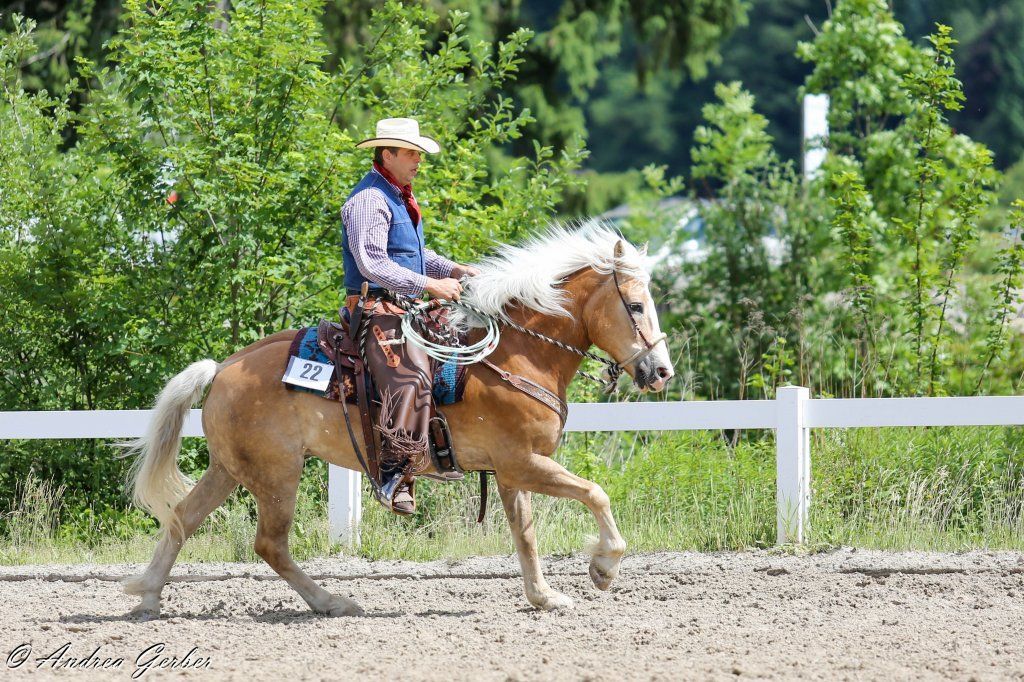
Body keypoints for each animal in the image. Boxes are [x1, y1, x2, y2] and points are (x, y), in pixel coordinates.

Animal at [120, 224, 675, 618]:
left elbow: (526, 534)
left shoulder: (511, 470)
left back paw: (147, 596)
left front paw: (544, 597)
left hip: (231, 469)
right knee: (269, 544)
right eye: (636, 304)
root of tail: (223, 368)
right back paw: (333, 602)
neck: (516, 354)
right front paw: (603, 568)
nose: (661, 371)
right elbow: (595, 493)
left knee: (183, 518)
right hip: (277, 474)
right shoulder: (523, 463)